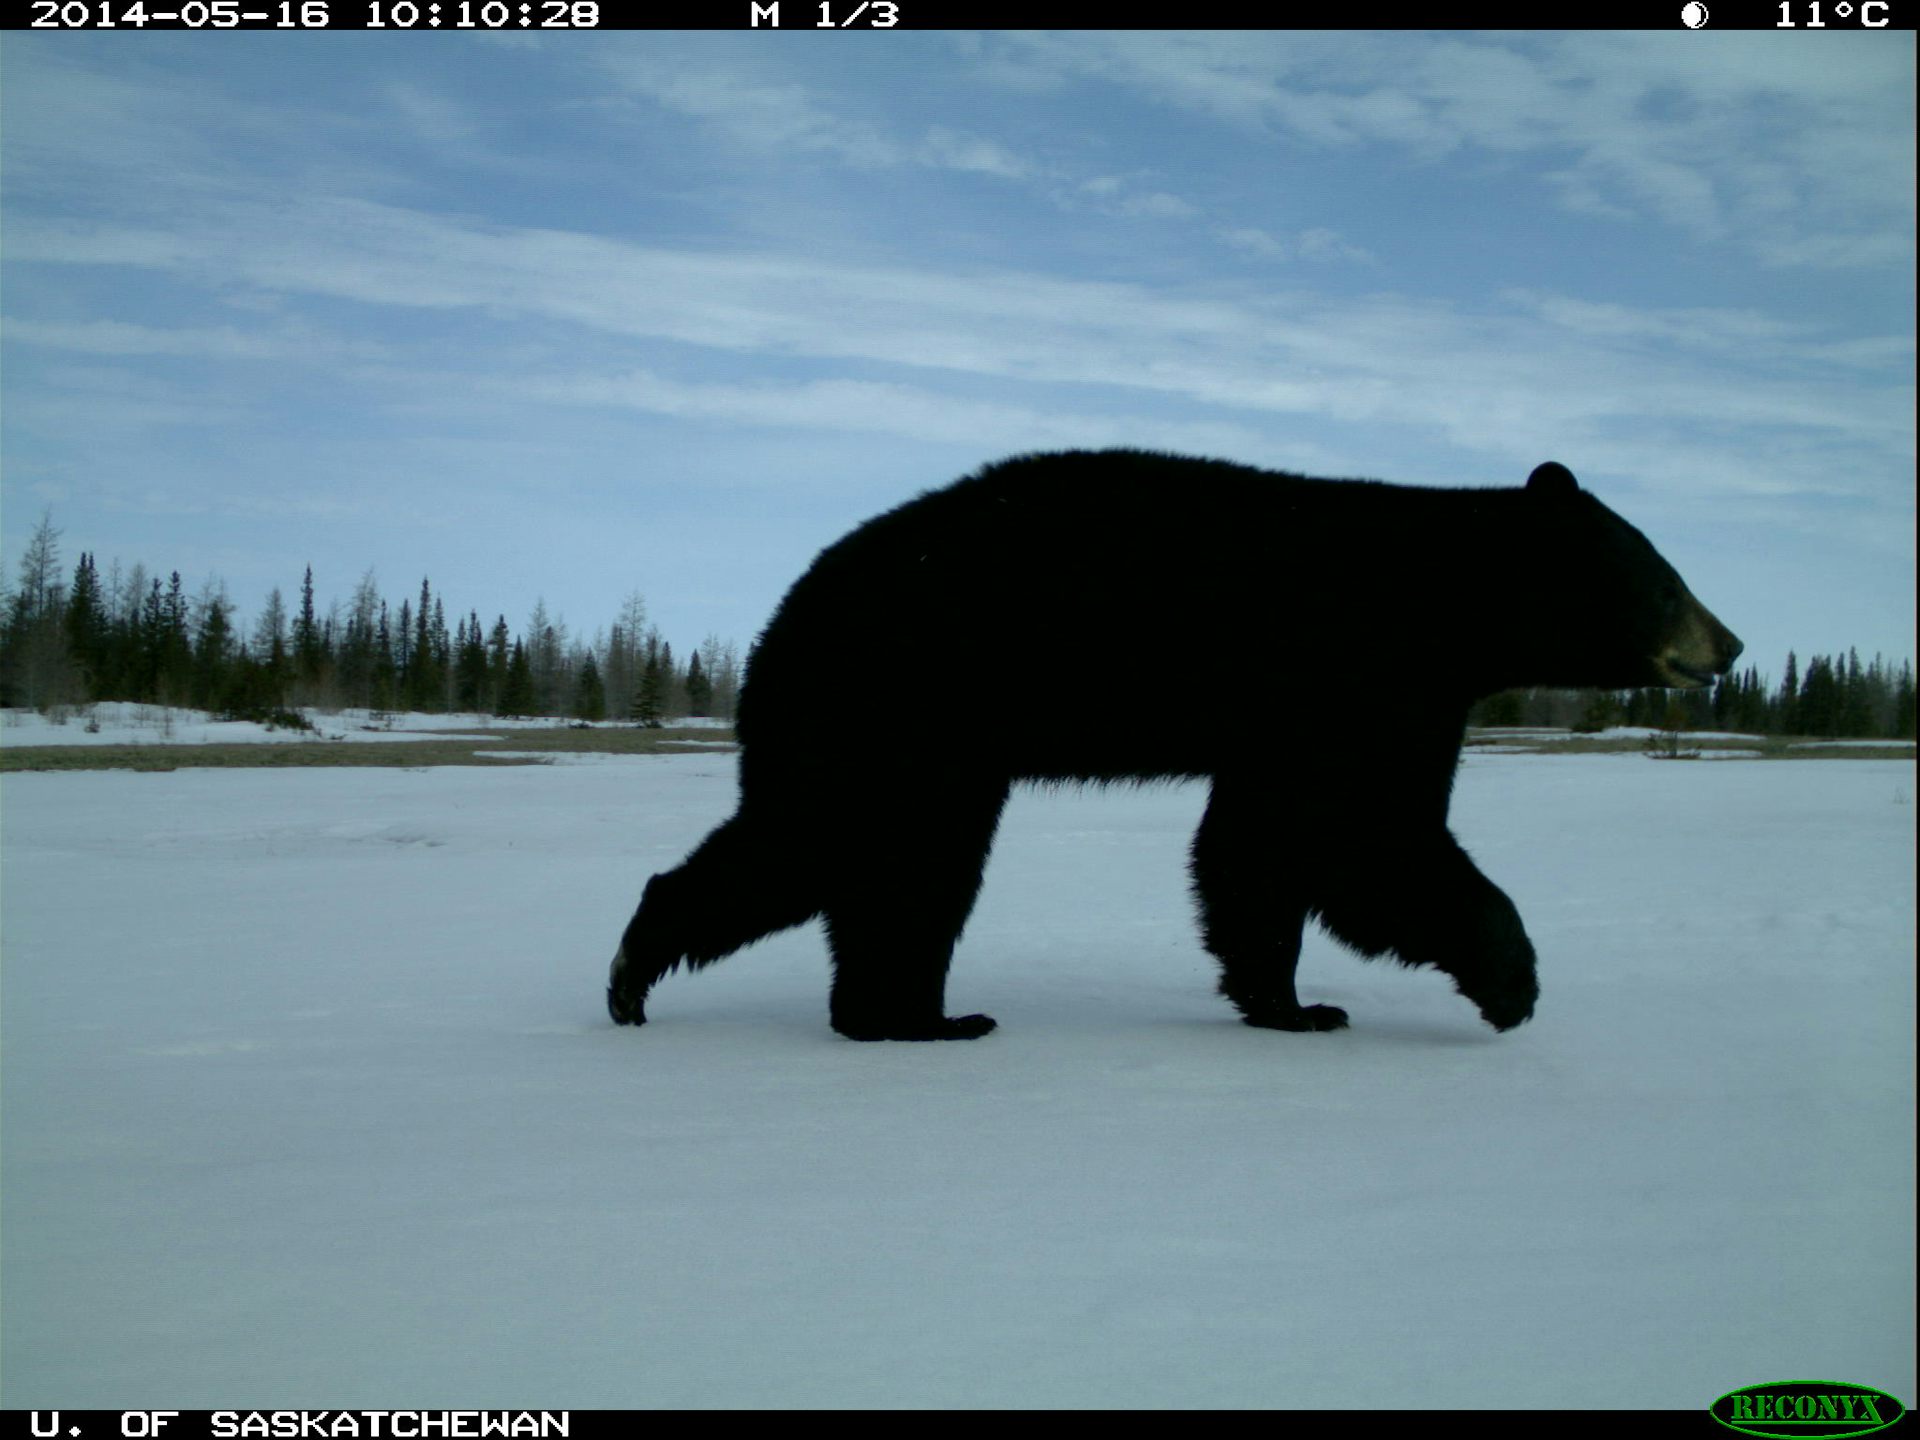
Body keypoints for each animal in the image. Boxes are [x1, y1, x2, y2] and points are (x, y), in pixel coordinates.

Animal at [607, 449, 1742, 1040]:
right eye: (1664, 578)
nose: (1729, 644)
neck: (1445, 605)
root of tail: (784, 612)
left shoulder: (1301, 719)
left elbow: (1260, 849)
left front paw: (1291, 1004)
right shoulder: (1362, 678)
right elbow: (1374, 839)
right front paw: (1514, 981)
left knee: (862, 862)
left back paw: (887, 1012)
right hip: (900, 708)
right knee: (855, 850)